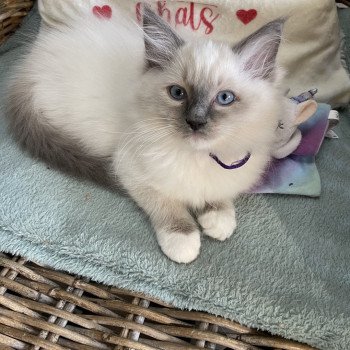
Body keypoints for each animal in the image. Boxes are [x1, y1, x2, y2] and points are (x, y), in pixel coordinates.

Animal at [5, 4, 284, 262]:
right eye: (177, 93)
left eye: (225, 98)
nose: (195, 122)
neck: (196, 157)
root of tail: (30, 65)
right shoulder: (129, 171)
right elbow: (166, 206)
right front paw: (184, 241)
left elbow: (219, 196)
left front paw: (218, 219)